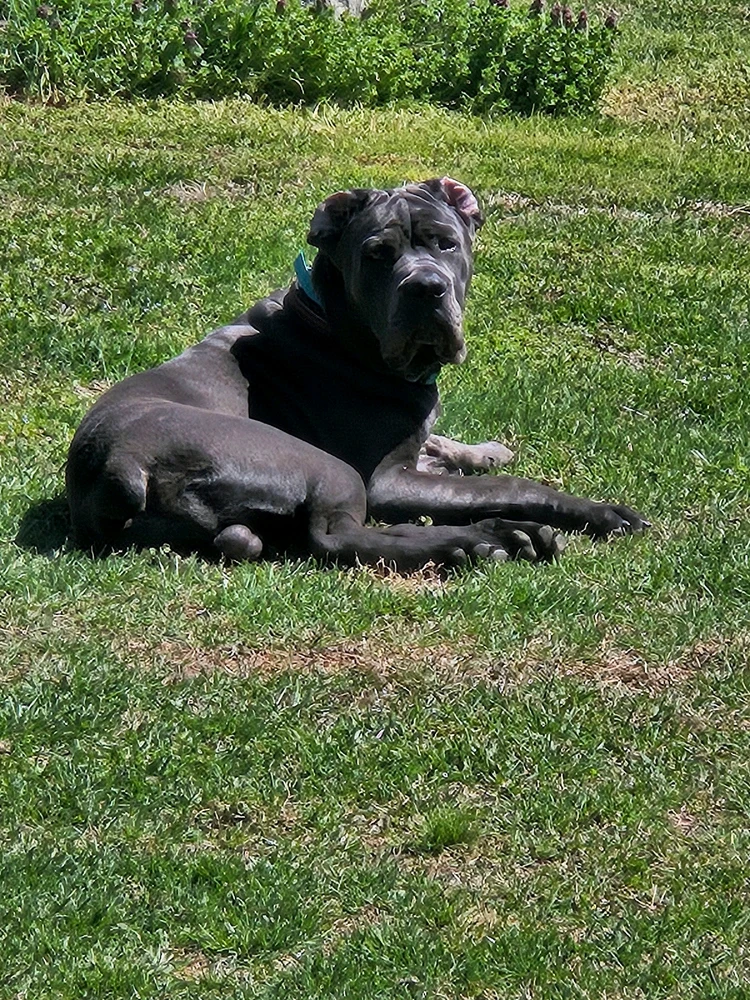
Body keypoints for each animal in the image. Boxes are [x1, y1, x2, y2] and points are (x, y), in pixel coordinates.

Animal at [66, 177, 648, 571]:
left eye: (446, 243)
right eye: (377, 255)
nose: (426, 288)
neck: (335, 323)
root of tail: (121, 462)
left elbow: (444, 444)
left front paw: (481, 451)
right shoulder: (386, 479)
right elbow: (508, 484)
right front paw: (598, 511)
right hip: (328, 469)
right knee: (339, 537)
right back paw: (480, 540)